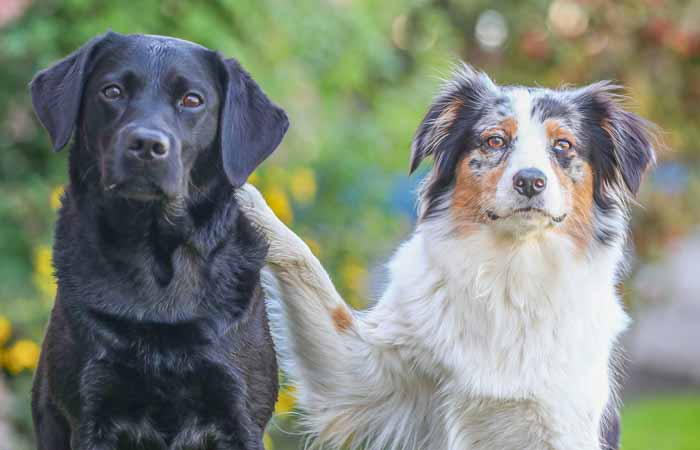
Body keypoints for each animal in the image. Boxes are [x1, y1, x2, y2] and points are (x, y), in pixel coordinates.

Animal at [31, 32, 288, 450]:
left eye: (192, 100)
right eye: (112, 91)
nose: (147, 145)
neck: (156, 259)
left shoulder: (240, 416)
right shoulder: (90, 413)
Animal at [238, 64, 660, 450]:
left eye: (563, 146)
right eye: (494, 140)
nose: (529, 181)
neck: (511, 272)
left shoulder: (565, 424)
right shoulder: (360, 375)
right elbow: (308, 266)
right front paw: (252, 201)